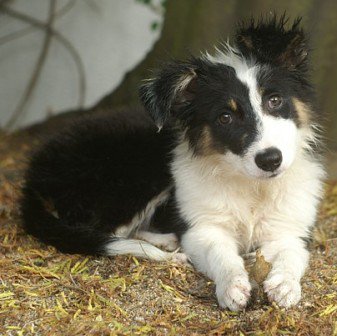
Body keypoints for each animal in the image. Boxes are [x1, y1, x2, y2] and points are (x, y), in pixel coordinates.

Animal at [20, 17, 322, 312]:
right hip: (135, 175)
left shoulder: (289, 229)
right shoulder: (202, 228)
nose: (270, 160)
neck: (250, 184)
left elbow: (293, 255)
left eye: (275, 100)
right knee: (109, 232)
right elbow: (221, 255)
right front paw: (232, 287)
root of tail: (34, 173)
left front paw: (284, 286)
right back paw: (170, 251)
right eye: (225, 117)